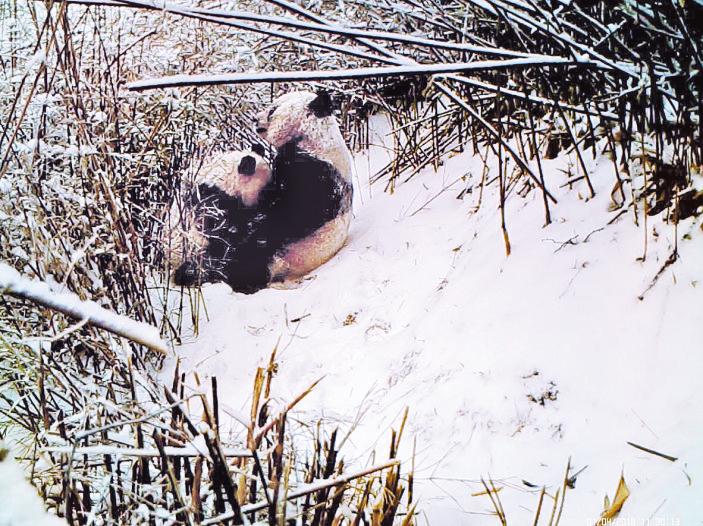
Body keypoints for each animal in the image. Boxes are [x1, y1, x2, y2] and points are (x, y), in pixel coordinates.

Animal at [219, 91, 354, 294]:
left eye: (273, 109)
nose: (254, 118)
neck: (312, 135)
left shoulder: (315, 172)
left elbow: (291, 214)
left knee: (252, 256)